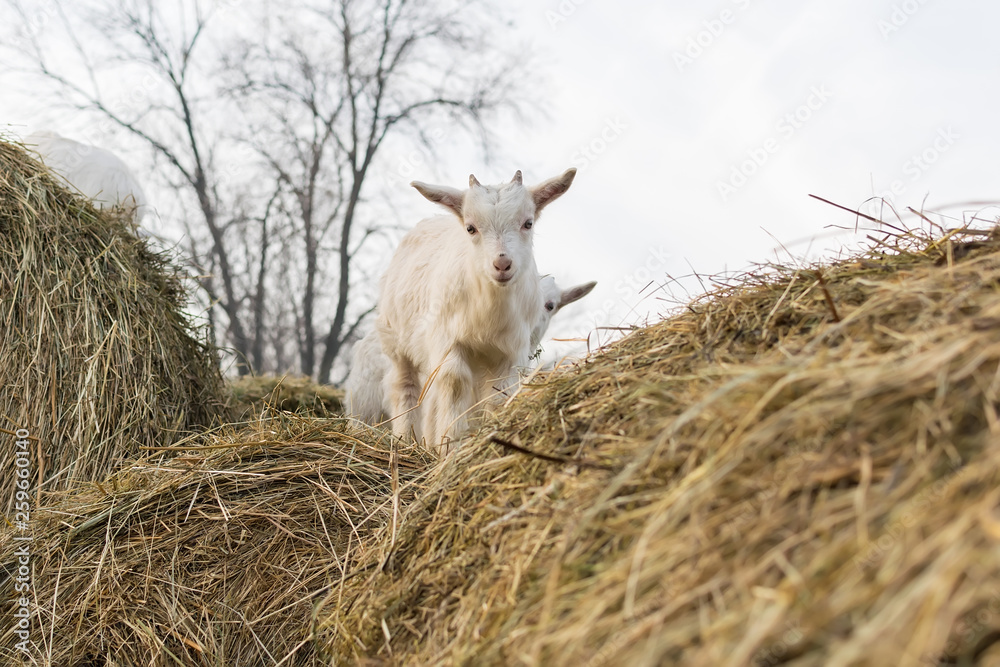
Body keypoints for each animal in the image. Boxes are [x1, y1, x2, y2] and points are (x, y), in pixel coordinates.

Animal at [377, 168, 576, 452]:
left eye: (528, 223)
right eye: (471, 228)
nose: (502, 264)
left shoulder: (509, 351)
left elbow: (498, 395)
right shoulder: (447, 340)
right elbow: (454, 384)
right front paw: (451, 446)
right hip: (396, 341)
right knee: (405, 386)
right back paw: (405, 441)